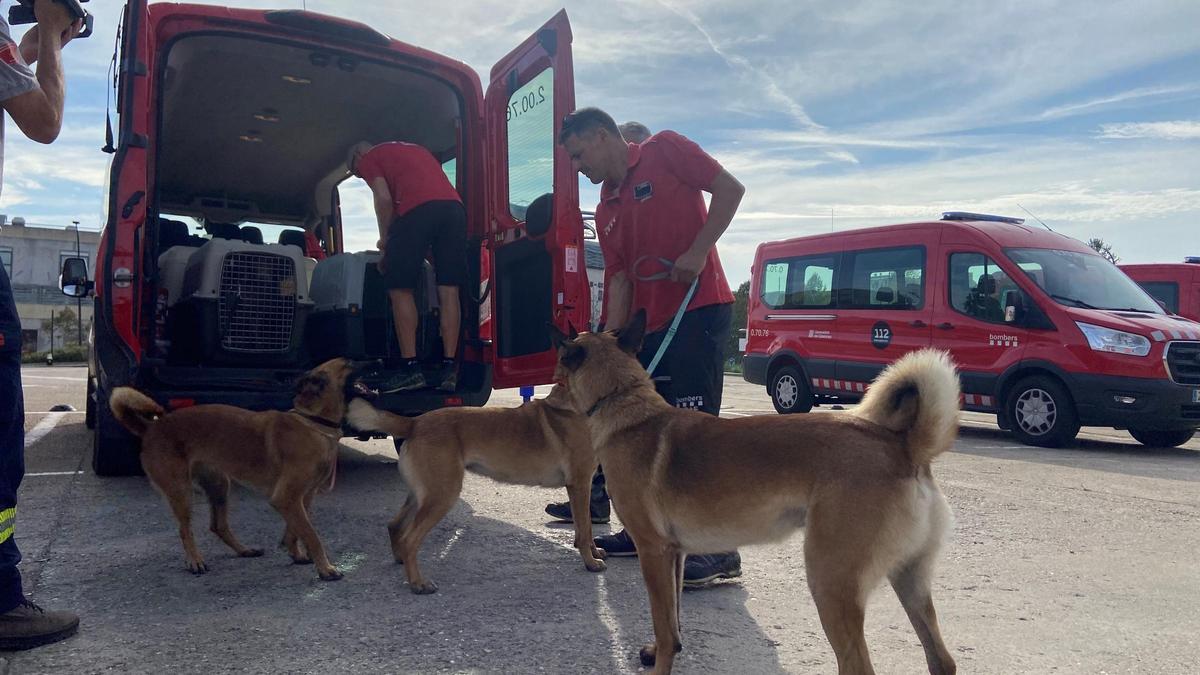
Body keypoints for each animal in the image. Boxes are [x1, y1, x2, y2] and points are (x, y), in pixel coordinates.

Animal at [109, 357, 362, 578]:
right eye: (350, 363)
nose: (372, 362)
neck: (313, 422)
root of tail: (151, 428)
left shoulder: (303, 497)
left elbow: (296, 529)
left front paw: (296, 553)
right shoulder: (287, 497)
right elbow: (311, 534)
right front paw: (326, 569)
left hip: (219, 486)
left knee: (218, 526)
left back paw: (244, 550)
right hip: (181, 491)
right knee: (185, 529)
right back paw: (195, 561)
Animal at [348, 381, 604, 590]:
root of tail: (415, 422)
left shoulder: (580, 488)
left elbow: (586, 528)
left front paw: (594, 552)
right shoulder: (580, 485)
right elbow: (585, 530)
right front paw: (590, 562)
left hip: (422, 494)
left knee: (394, 526)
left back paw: (401, 560)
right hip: (442, 495)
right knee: (410, 539)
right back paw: (418, 583)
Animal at [549, 312, 955, 672]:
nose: (549, 391)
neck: (625, 402)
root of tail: (903, 446)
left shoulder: (652, 553)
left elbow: (665, 630)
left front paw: (659, 660)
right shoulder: (674, 555)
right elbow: (674, 622)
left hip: (830, 581)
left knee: (857, 665)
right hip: (910, 581)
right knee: (942, 660)